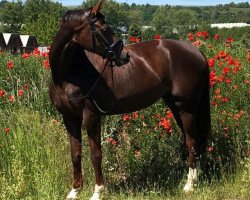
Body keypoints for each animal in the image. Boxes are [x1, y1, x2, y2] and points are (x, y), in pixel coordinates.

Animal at [48, 0, 211, 199]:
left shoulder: (91, 116)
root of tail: (196, 50)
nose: (124, 56)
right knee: (196, 140)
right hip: (177, 107)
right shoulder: (70, 118)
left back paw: (189, 185)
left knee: (191, 141)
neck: (69, 75)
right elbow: (75, 154)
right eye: (104, 28)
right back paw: (196, 178)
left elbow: (96, 154)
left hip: (185, 108)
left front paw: (97, 192)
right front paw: (74, 191)